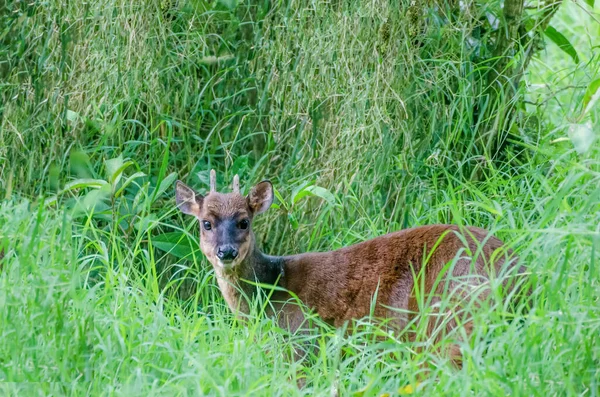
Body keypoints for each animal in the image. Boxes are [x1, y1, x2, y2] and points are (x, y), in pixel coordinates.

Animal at [173, 170, 524, 366]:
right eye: (206, 223)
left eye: (244, 221)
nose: (226, 251)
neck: (273, 291)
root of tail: (518, 273)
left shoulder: (300, 344)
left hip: (447, 320)